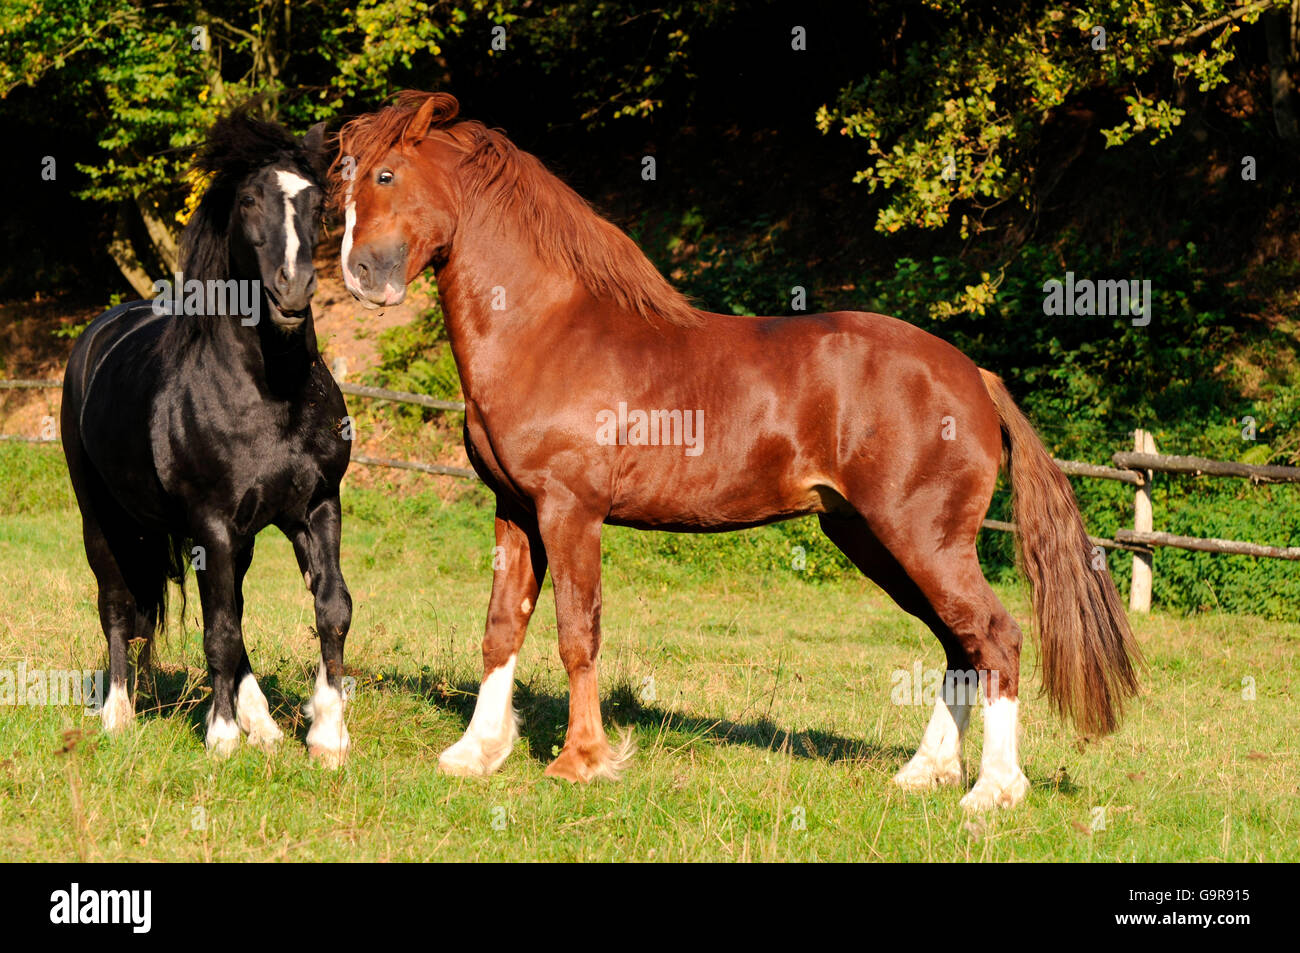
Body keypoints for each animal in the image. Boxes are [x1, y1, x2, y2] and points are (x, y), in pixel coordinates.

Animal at [63, 111, 353, 764]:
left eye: (318, 202)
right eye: (248, 200)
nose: (293, 289)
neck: (271, 392)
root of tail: (97, 337)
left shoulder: (315, 507)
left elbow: (331, 609)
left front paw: (327, 735)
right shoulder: (213, 523)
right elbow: (218, 632)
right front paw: (220, 739)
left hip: (226, 540)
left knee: (229, 611)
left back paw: (263, 724)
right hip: (105, 521)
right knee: (119, 607)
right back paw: (118, 716)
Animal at [335, 89, 1138, 806]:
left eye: (386, 174)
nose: (360, 275)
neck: (549, 327)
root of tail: (975, 376)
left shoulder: (571, 512)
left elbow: (576, 631)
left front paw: (580, 761)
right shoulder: (516, 508)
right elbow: (502, 627)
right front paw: (476, 752)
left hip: (924, 540)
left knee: (996, 637)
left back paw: (993, 791)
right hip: (876, 540)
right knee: (958, 645)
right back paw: (926, 773)